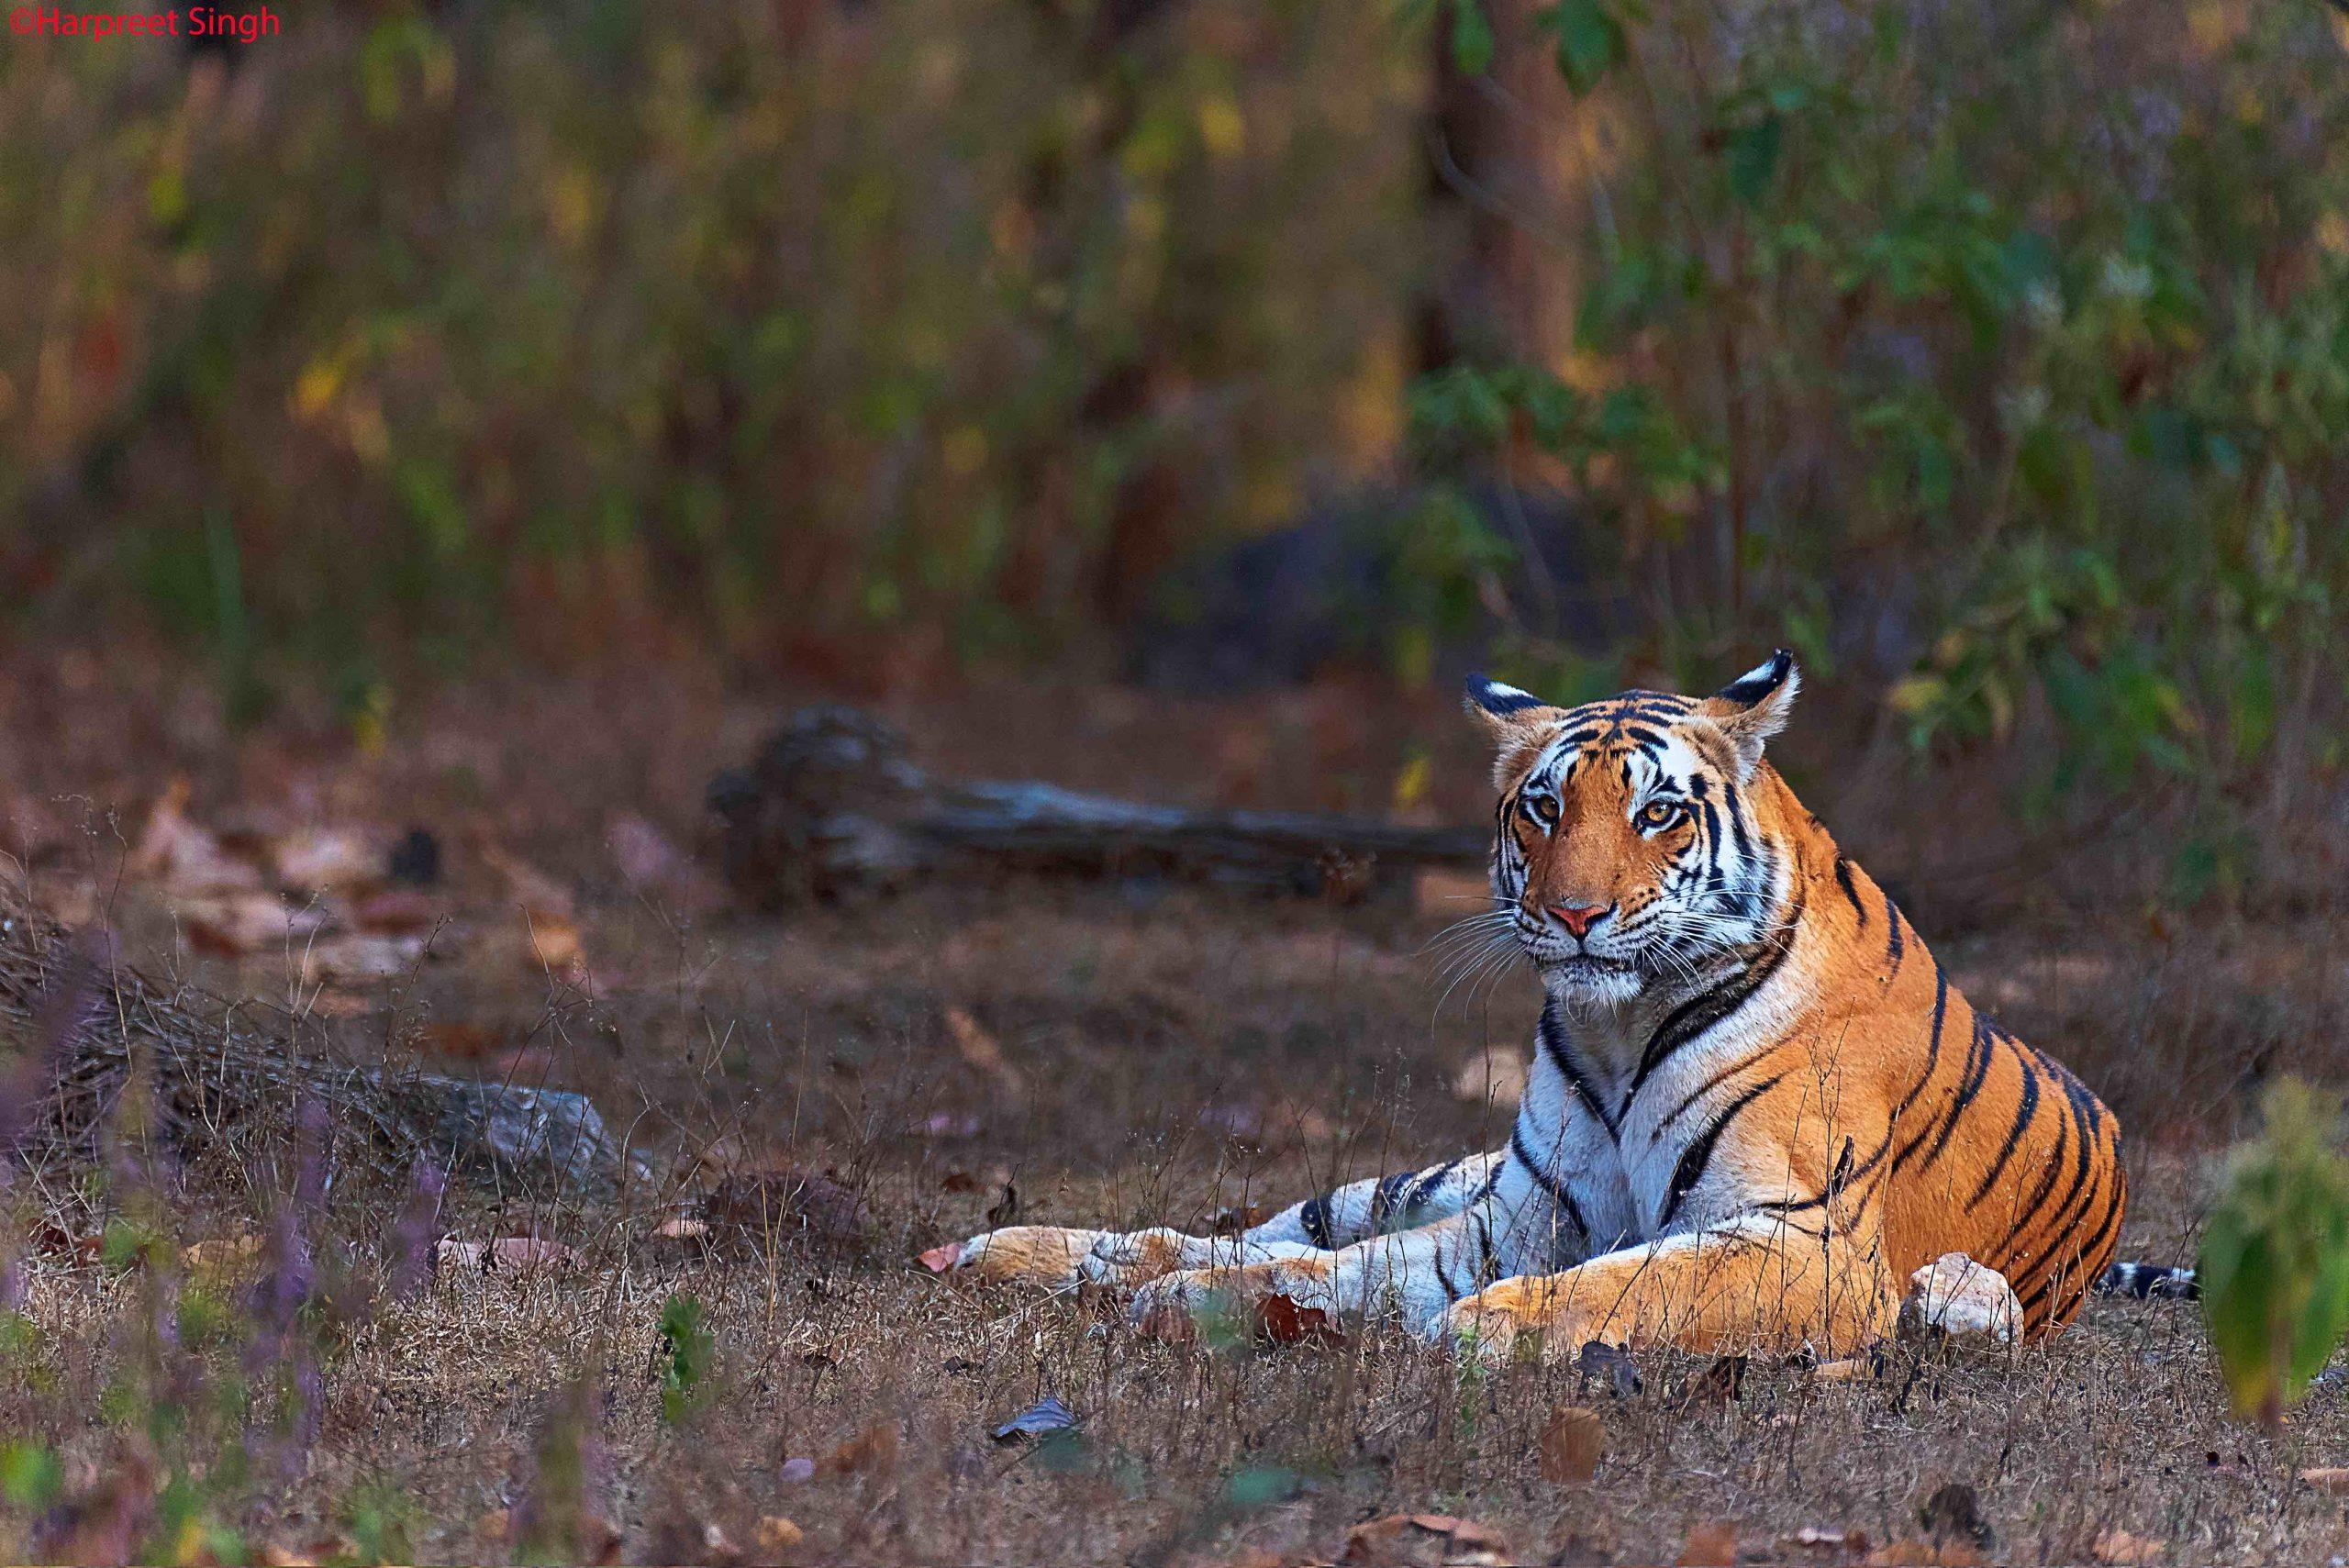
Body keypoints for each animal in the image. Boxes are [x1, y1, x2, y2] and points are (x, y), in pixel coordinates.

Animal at [943, 654, 2148, 1360]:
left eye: (1658, 811)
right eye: (1541, 805)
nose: (1573, 913)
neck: (1616, 1032)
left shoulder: (1803, 1240)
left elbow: (1632, 1283)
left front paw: (1486, 1325)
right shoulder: (1511, 1217)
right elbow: (1330, 1266)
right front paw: (1188, 1298)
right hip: (1428, 1175)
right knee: (1264, 1223)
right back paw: (1028, 1253)